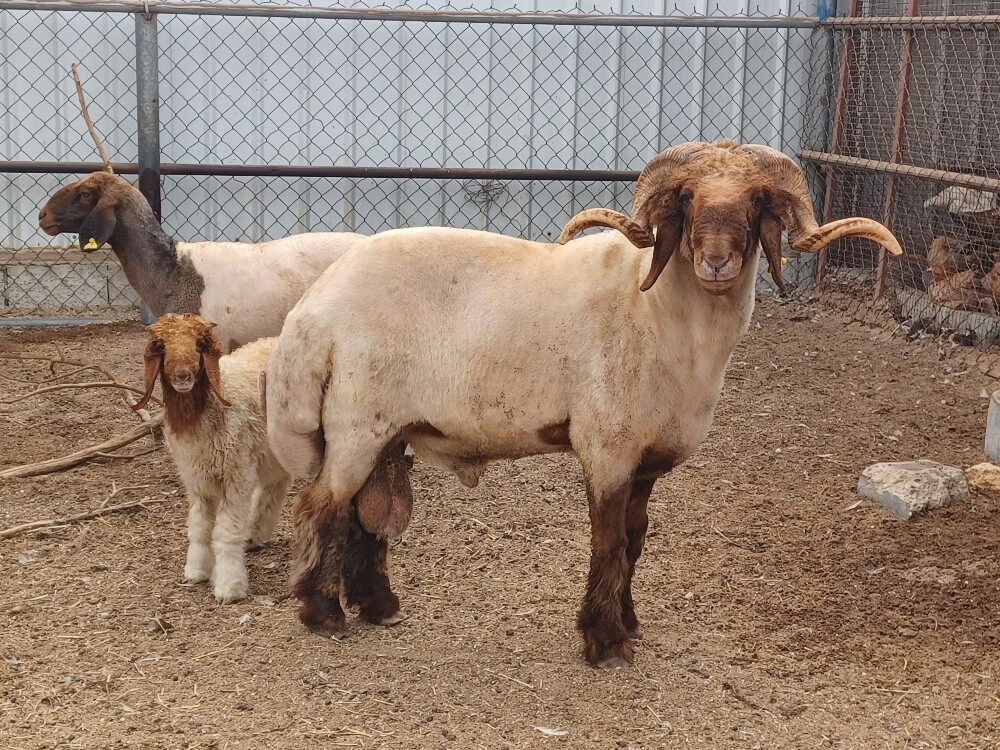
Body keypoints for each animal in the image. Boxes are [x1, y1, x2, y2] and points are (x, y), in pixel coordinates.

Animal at [262, 140, 903, 667]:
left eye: (757, 201)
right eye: (688, 199)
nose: (716, 261)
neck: (657, 313)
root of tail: (313, 314)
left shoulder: (646, 460)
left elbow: (636, 541)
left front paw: (630, 622)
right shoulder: (606, 447)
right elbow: (608, 542)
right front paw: (605, 642)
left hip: (383, 432)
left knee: (361, 516)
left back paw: (378, 605)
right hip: (355, 424)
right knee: (321, 507)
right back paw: (323, 615)